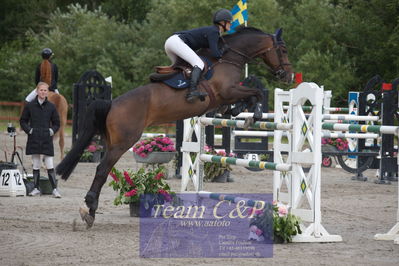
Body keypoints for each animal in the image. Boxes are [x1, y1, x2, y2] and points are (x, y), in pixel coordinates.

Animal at [55, 27, 294, 228]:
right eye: (283, 50)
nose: (289, 76)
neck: (229, 57)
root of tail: (112, 104)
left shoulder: (226, 96)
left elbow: (243, 101)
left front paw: (239, 113)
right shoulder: (228, 90)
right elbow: (257, 93)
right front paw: (254, 115)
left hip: (111, 141)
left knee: (103, 170)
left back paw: (90, 211)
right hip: (123, 143)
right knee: (102, 170)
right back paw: (90, 210)